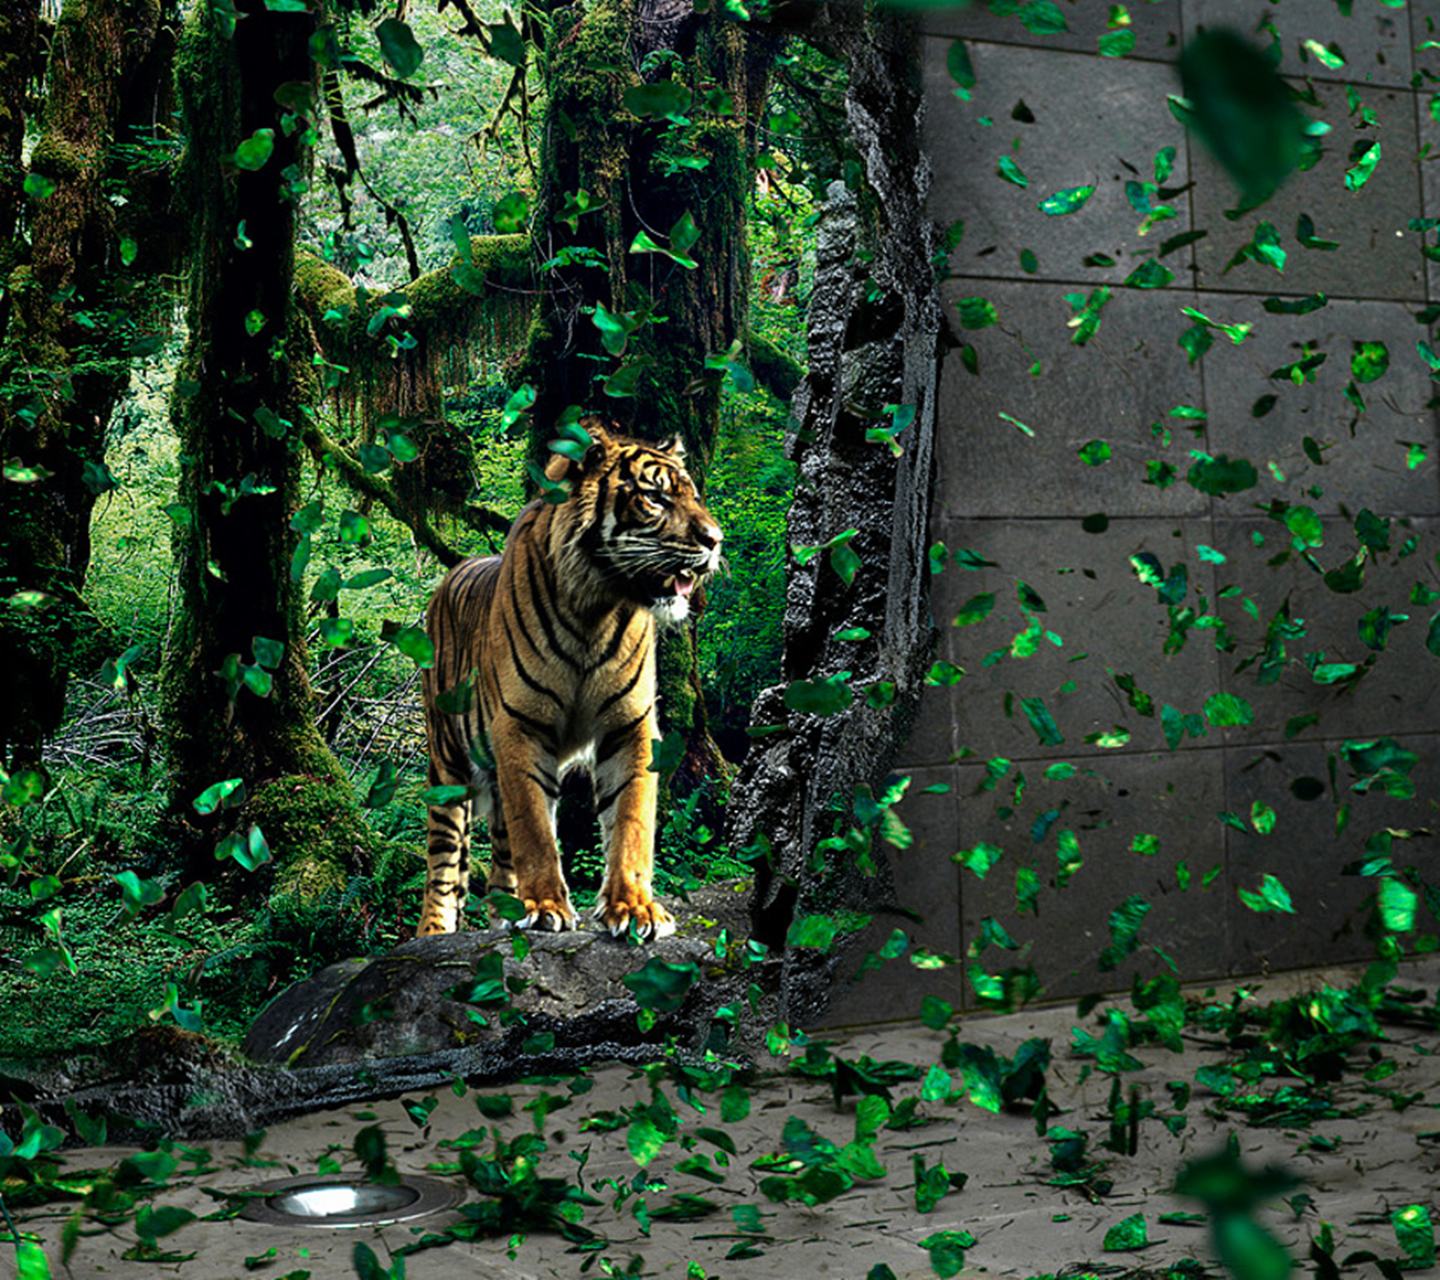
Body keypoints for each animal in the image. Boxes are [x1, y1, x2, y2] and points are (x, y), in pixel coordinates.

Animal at [417, 420, 724, 940]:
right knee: (443, 865)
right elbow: (536, 829)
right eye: (655, 497)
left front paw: (635, 908)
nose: (716, 540)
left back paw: (505, 916)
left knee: (499, 860)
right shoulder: (520, 725)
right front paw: (545, 906)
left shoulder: (631, 726)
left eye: (694, 496)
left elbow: (631, 819)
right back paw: (435, 933)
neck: (595, 607)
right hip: (447, 766)